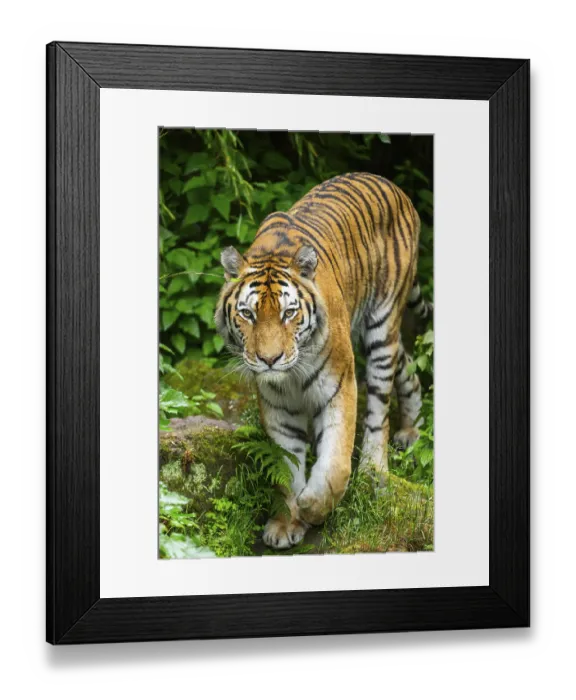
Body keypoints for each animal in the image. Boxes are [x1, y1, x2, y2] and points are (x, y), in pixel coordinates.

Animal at [215, 172, 431, 550]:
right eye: (247, 314)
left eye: (288, 313)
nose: (269, 360)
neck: (290, 376)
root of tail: (392, 185)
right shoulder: (277, 406)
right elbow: (286, 465)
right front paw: (286, 523)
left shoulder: (339, 386)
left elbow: (335, 464)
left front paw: (313, 507)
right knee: (409, 368)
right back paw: (410, 431)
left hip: (381, 325)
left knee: (378, 412)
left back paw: (375, 472)